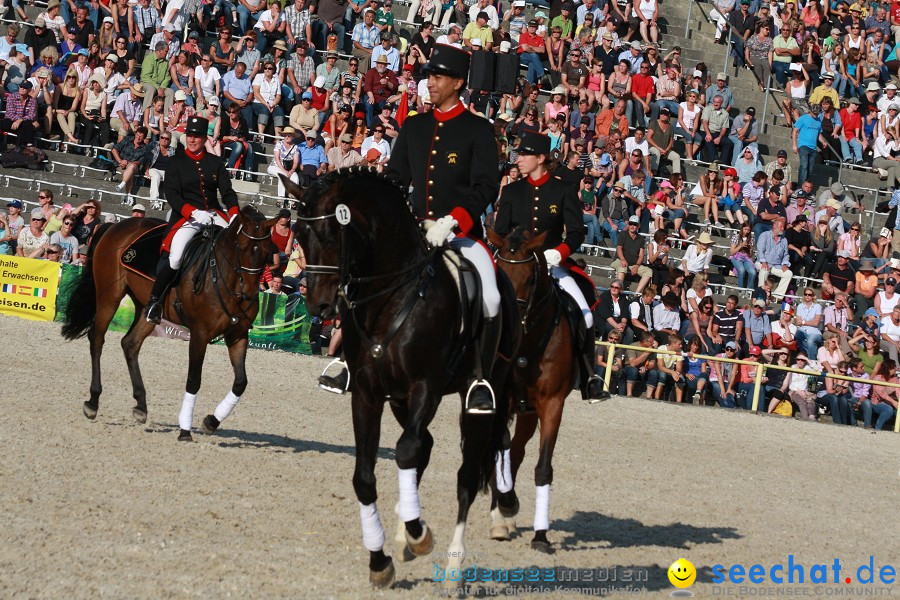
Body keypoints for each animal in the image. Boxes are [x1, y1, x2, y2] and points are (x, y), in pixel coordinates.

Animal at [61, 204, 276, 438]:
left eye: (267, 251)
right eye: (241, 247)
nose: (249, 294)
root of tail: (116, 225)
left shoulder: (238, 335)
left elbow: (240, 382)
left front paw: (211, 421)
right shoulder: (199, 334)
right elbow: (194, 380)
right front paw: (185, 429)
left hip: (146, 308)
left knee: (130, 343)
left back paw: (141, 406)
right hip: (109, 297)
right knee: (97, 339)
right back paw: (93, 402)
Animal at [486, 229, 576, 552]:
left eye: (529, 278)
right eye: (499, 273)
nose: (509, 317)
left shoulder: (552, 404)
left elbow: (542, 467)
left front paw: (541, 534)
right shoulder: (499, 398)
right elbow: (498, 447)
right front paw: (505, 505)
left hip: (528, 413)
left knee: (516, 451)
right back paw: (500, 516)